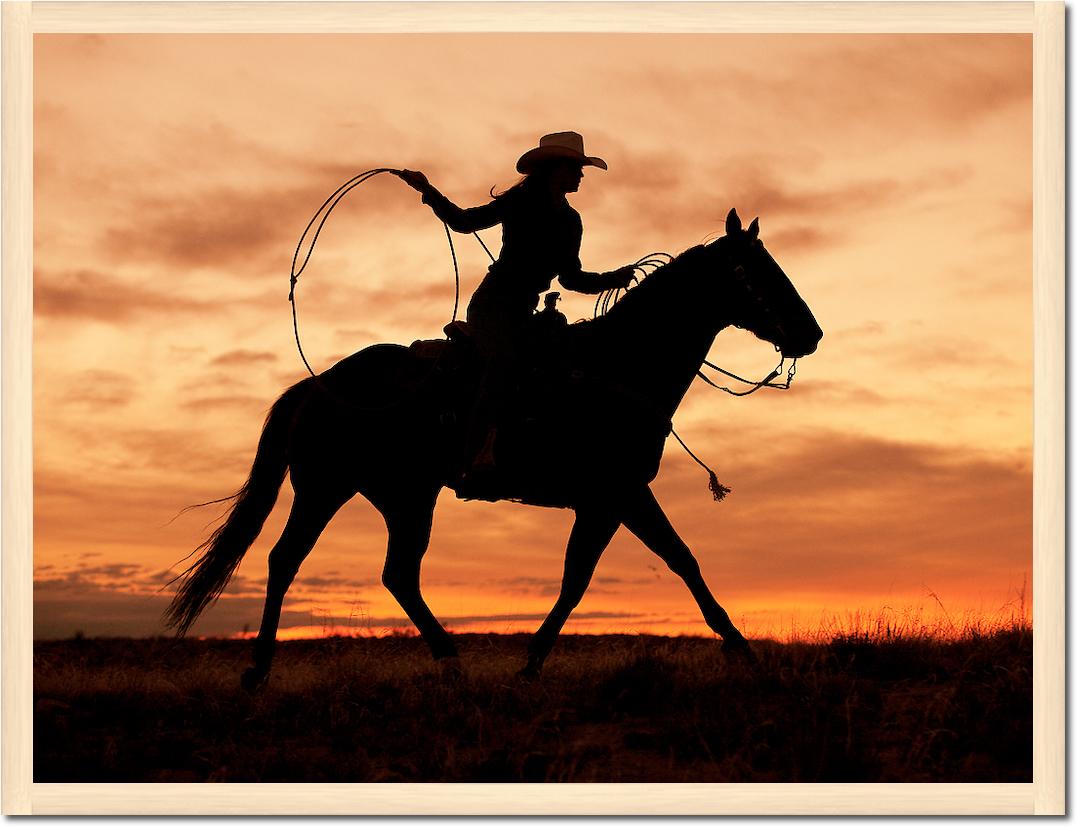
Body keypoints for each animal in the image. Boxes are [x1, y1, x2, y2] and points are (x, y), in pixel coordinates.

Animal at [165, 209, 822, 688]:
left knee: (395, 573)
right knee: (288, 560)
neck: (617, 365)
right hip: (329, 488)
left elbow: (630, 569)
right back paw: (259, 671)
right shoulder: (617, 493)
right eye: (758, 270)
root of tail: (318, 383)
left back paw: (447, 660)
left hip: (401, 496)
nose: (810, 334)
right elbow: (629, 570)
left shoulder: (612, 499)